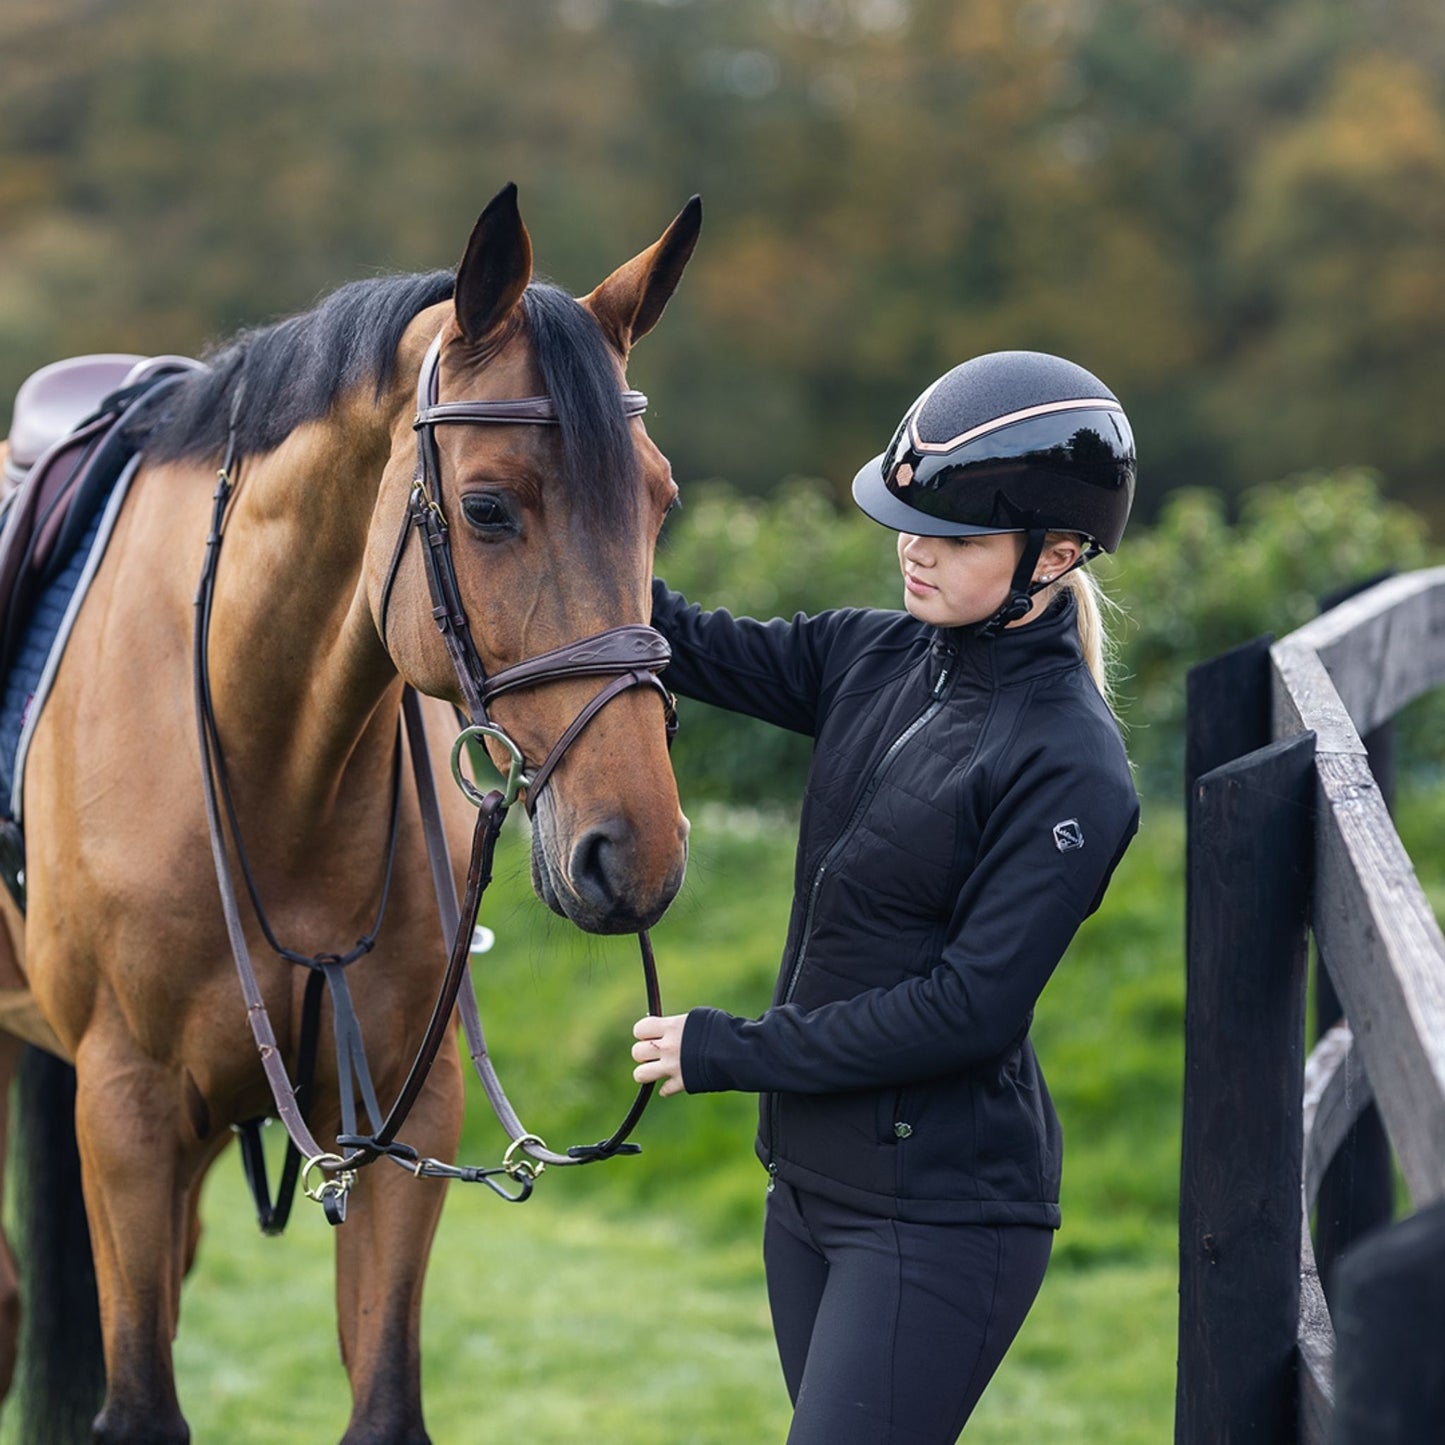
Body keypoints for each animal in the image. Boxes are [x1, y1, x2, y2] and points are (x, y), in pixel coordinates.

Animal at [0, 183, 699, 1445]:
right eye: (485, 507)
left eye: (659, 498)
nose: (638, 852)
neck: (279, 759)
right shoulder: (124, 1110)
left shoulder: (407, 1120)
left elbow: (382, 1402)